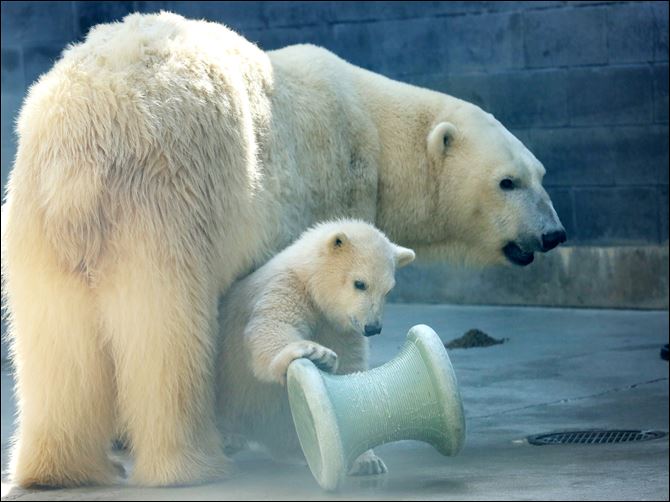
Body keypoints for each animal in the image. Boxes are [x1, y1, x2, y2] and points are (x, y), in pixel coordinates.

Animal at [1, 11, 568, 488]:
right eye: (507, 182)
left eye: (540, 173)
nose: (553, 234)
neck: (373, 125)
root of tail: (80, 137)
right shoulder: (328, 183)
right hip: (165, 198)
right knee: (166, 330)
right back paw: (189, 464)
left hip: (37, 223)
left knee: (56, 343)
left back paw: (59, 469)